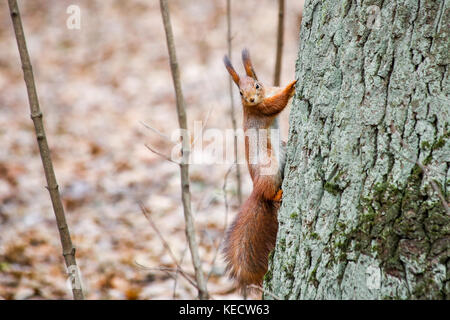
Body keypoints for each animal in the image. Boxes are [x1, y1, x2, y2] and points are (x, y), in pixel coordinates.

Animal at [223, 48, 298, 290]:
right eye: (239, 92)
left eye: (257, 85)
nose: (251, 99)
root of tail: (255, 189)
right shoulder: (262, 111)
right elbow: (277, 105)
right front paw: (292, 86)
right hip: (268, 166)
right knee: (269, 194)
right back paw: (277, 194)